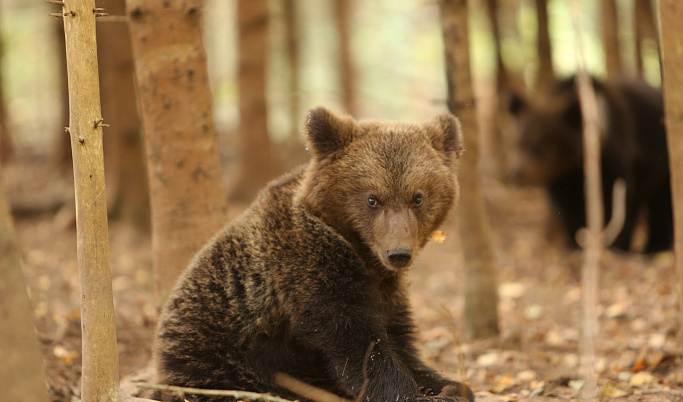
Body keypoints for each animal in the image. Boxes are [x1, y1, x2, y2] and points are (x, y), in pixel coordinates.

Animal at [155, 107, 476, 402]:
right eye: (372, 199)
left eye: (418, 197)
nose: (398, 253)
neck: (361, 253)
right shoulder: (305, 263)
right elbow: (354, 339)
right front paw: (408, 392)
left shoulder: (386, 289)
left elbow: (399, 339)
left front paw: (448, 386)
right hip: (219, 354)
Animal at [510, 76, 672, 253]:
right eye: (519, 142)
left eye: (542, 145)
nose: (517, 172)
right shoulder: (561, 176)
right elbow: (567, 206)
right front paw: (574, 243)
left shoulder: (613, 157)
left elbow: (617, 199)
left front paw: (613, 244)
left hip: (663, 158)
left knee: (662, 202)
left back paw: (655, 246)